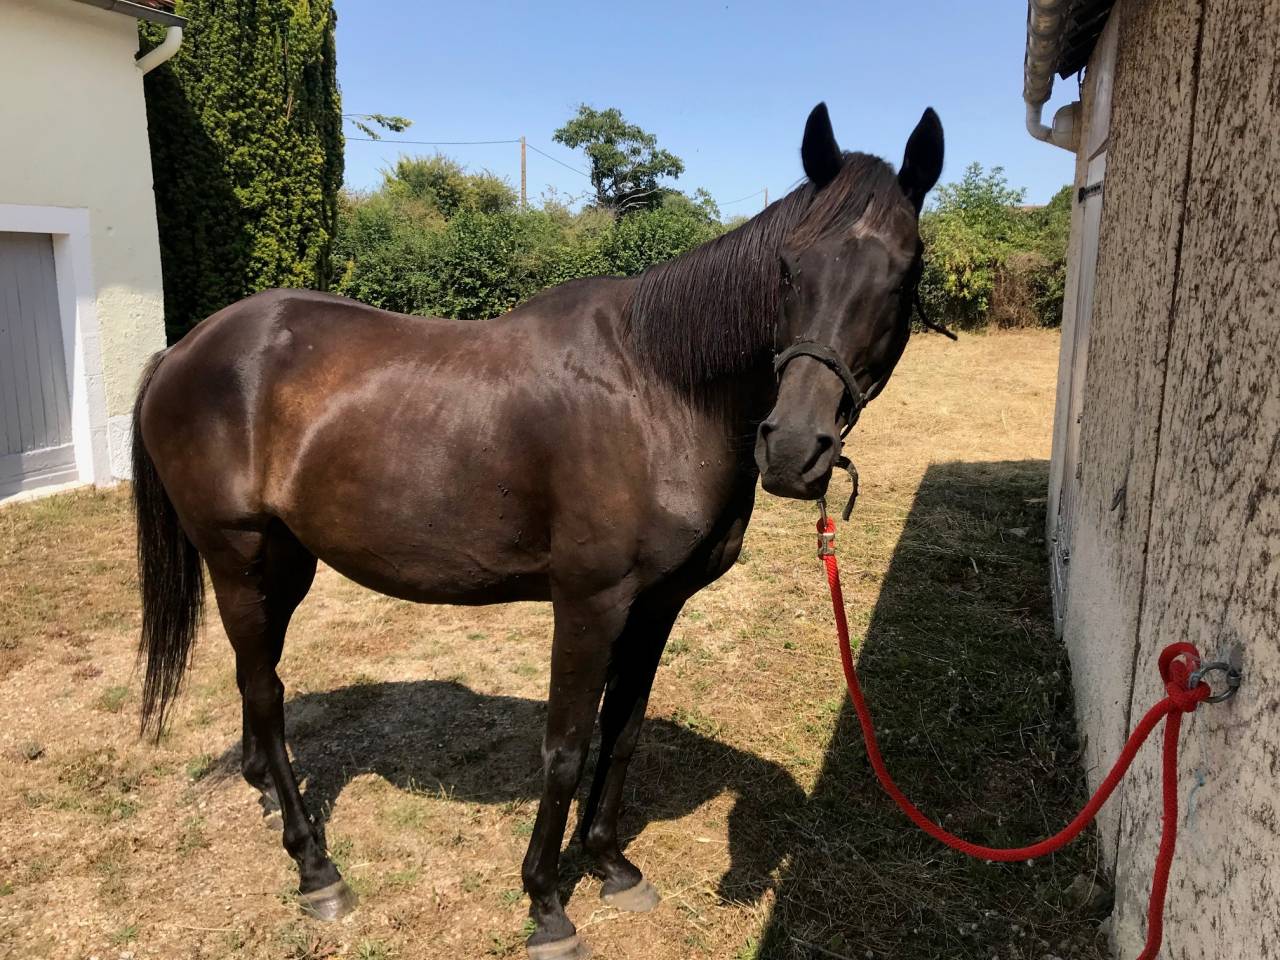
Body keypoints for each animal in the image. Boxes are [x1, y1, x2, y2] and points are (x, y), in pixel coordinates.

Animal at [131, 101, 943, 960]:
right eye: (788, 269)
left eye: (903, 274)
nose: (791, 451)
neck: (657, 390)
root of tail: (185, 349)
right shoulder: (589, 604)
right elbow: (566, 745)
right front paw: (547, 903)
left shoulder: (658, 605)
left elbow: (622, 730)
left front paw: (612, 864)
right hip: (236, 553)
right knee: (264, 685)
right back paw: (315, 866)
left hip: (283, 563)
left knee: (257, 681)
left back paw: (266, 796)